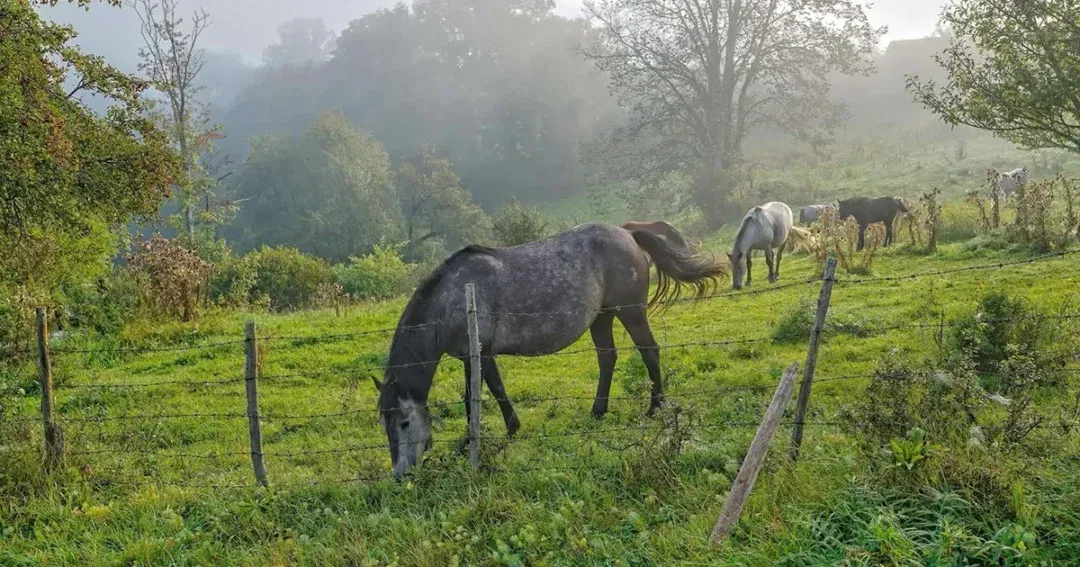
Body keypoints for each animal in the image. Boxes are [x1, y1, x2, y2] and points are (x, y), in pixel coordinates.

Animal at [373, 222, 725, 477]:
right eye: (385, 425)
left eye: (404, 423)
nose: (400, 474)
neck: (452, 296)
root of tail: (627, 232)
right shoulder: (479, 355)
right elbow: (491, 390)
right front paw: (507, 429)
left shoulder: (479, 354)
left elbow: (477, 398)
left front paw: (471, 444)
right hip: (602, 317)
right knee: (607, 358)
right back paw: (598, 412)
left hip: (631, 311)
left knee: (649, 351)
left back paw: (654, 407)